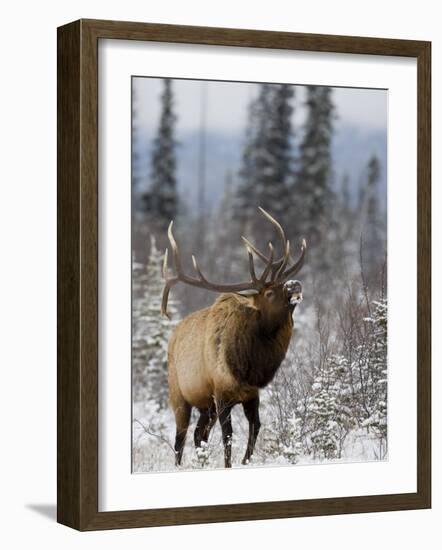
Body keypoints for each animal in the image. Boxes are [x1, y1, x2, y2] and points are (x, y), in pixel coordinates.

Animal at [161, 209, 306, 468]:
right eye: (269, 293)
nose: (294, 284)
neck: (249, 366)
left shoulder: (251, 394)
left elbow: (255, 427)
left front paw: (245, 461)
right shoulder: (221, 394)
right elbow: (228, 436)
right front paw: (230, 464)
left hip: (205, 406)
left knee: (198, 434)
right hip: (179, 396)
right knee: (180, 438)